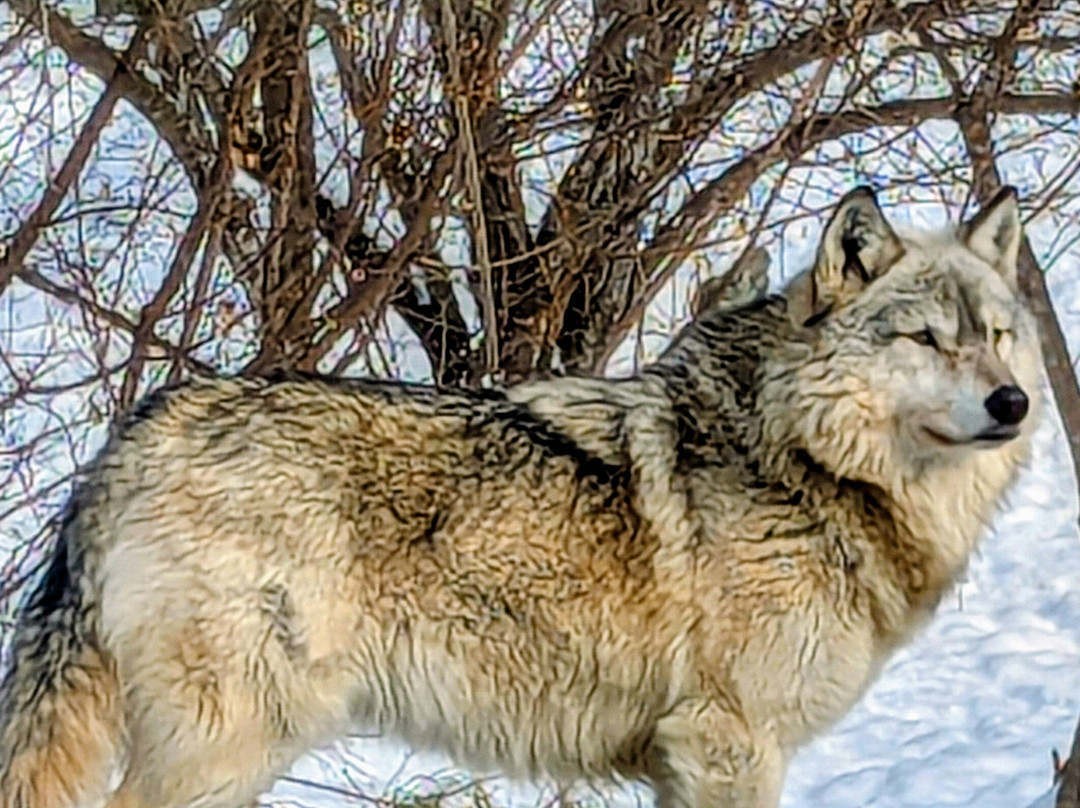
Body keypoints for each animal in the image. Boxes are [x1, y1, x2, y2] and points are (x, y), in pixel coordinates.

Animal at [0, 187, 1040, 808]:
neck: (805, 461)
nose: (1016, 404)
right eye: (925, 339)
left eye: (995, 335)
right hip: (233, 742)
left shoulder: (686, 754)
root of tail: (134, 435)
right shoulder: (728, 742)